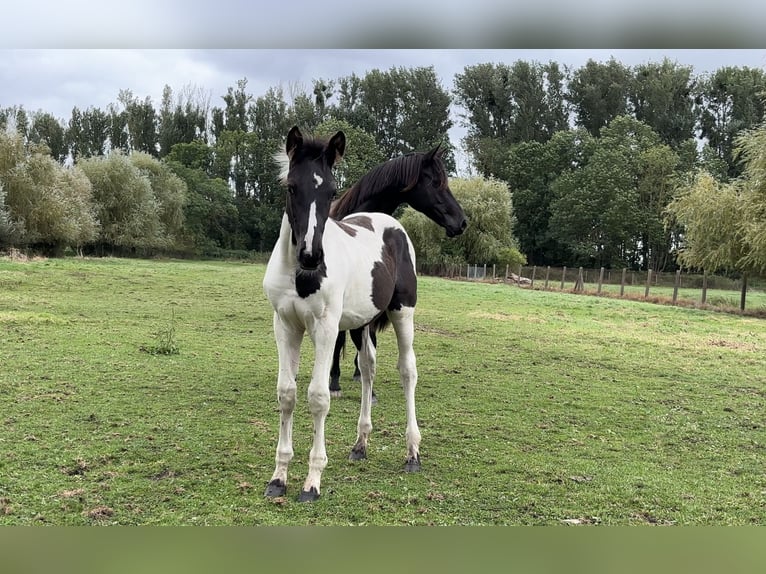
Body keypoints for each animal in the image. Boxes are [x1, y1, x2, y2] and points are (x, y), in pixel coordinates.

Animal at [264, 127, 426, 504]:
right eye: (291, 186)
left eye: (333, 191)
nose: (311, 256)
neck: (299, 275)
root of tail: (392, 223)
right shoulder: (285, 325)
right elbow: (287, 393)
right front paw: (279, 477)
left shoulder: (325, 328)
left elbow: (318, 396)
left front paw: (312, 481)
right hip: (362, 323)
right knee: (367, 368)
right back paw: (360, 443)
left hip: (403, 313)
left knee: (407, 371)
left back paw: (412, 452)